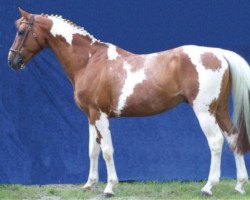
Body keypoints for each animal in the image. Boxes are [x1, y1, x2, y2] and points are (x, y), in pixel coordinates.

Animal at [7, 7, 250, 197]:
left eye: (21, 31)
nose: (12, 61)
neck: (90, 61)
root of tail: (218, 53)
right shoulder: (90, 116)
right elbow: (92, 150)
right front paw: (89, 185)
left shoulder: (100, 115)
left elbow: (107, 150)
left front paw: (109, 188)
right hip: (219, 109)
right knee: (233, 137)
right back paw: (239, 186)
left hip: (204, 111)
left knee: (216, 142)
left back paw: (208, 187)